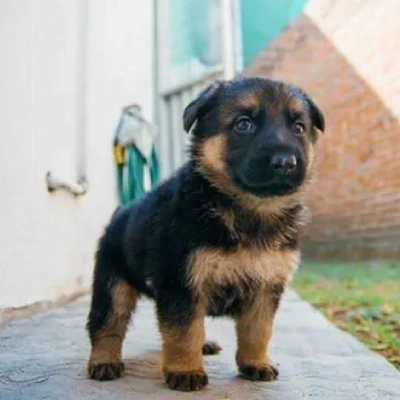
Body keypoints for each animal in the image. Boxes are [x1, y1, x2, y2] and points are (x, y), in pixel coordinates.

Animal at [86, 77, 324, 390]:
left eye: (298, 128)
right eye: (244, 124)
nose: (286, 163)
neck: (248, 209)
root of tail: (120, 212)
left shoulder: (266, 286)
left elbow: (258, 330)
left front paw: (256, 363)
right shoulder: (181, 284)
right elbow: (184, 331)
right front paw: (186, 370)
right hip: (113, 285)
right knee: (106, 323)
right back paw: (104, 360)